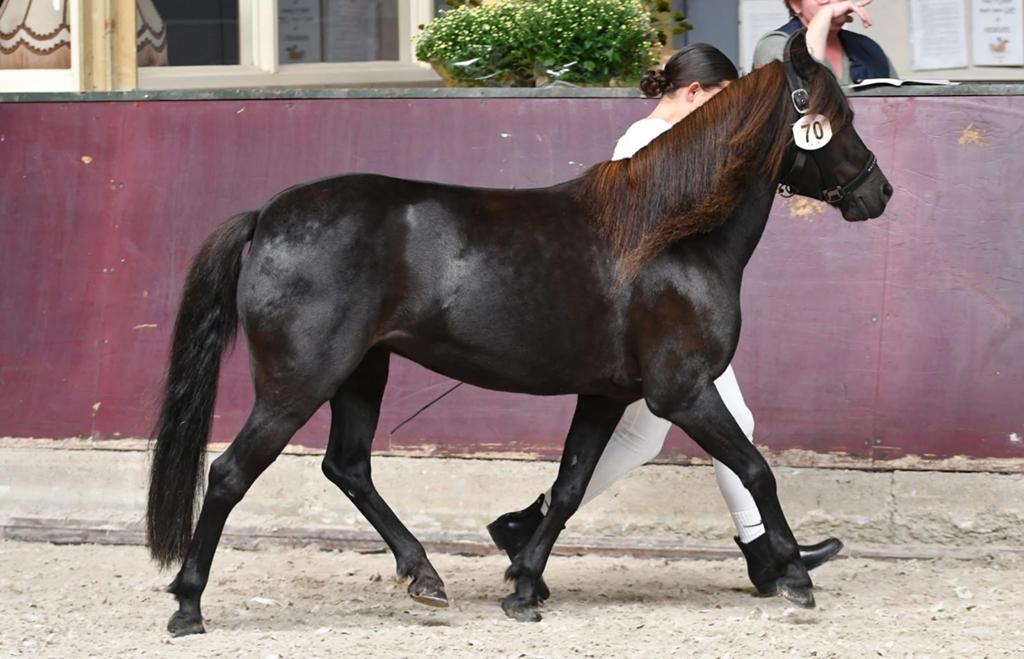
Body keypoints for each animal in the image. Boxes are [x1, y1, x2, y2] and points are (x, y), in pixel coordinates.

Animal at [146, 30, 891, 635]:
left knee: (348, 466)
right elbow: (756, 468)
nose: (878, 192)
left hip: (362, 371)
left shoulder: (607, 394)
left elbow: (568, 486)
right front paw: (794, 574)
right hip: (299, 382)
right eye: (840, 118)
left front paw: (524, 586)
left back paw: (426, 576)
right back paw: (188, 604)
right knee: (230, 473)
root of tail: (269, 215)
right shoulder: (683, 393)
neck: (670, 238)